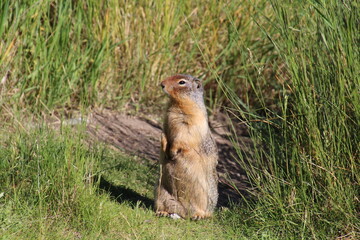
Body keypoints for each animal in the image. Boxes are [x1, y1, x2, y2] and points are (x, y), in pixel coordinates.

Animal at [153, 73, 218, 219]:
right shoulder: (166, 121)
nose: (161, 84)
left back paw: (199, 215)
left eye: (181, 82)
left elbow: (183, 138)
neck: (177, 105)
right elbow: (164, 133)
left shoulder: (193, 121)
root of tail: (185, 212)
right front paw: (164, 146)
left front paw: (172, 152)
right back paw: (163, 212)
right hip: (161, 192)